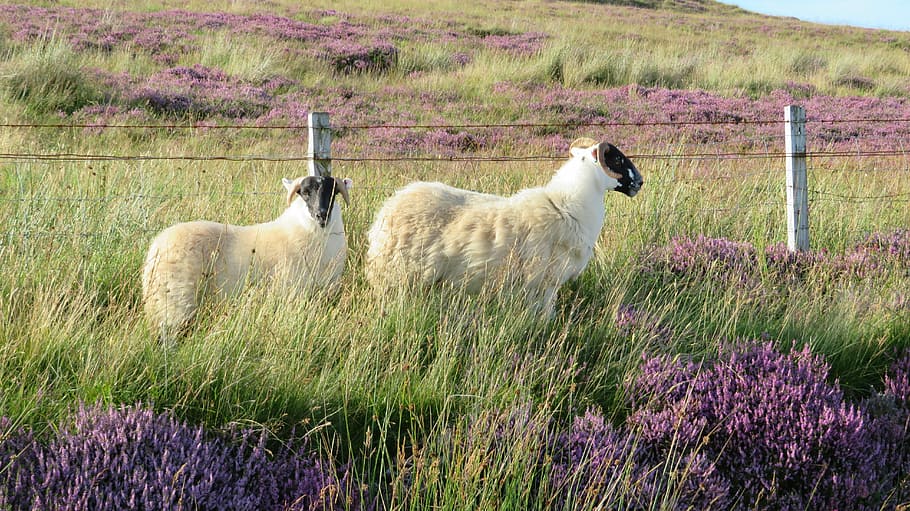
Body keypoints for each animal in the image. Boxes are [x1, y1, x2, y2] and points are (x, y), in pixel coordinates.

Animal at [364, 138, 642, 314]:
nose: (640, 182)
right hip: (397, 279)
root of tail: (385, 212)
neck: (566, 207)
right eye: (617, 158)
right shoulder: (544, 284)